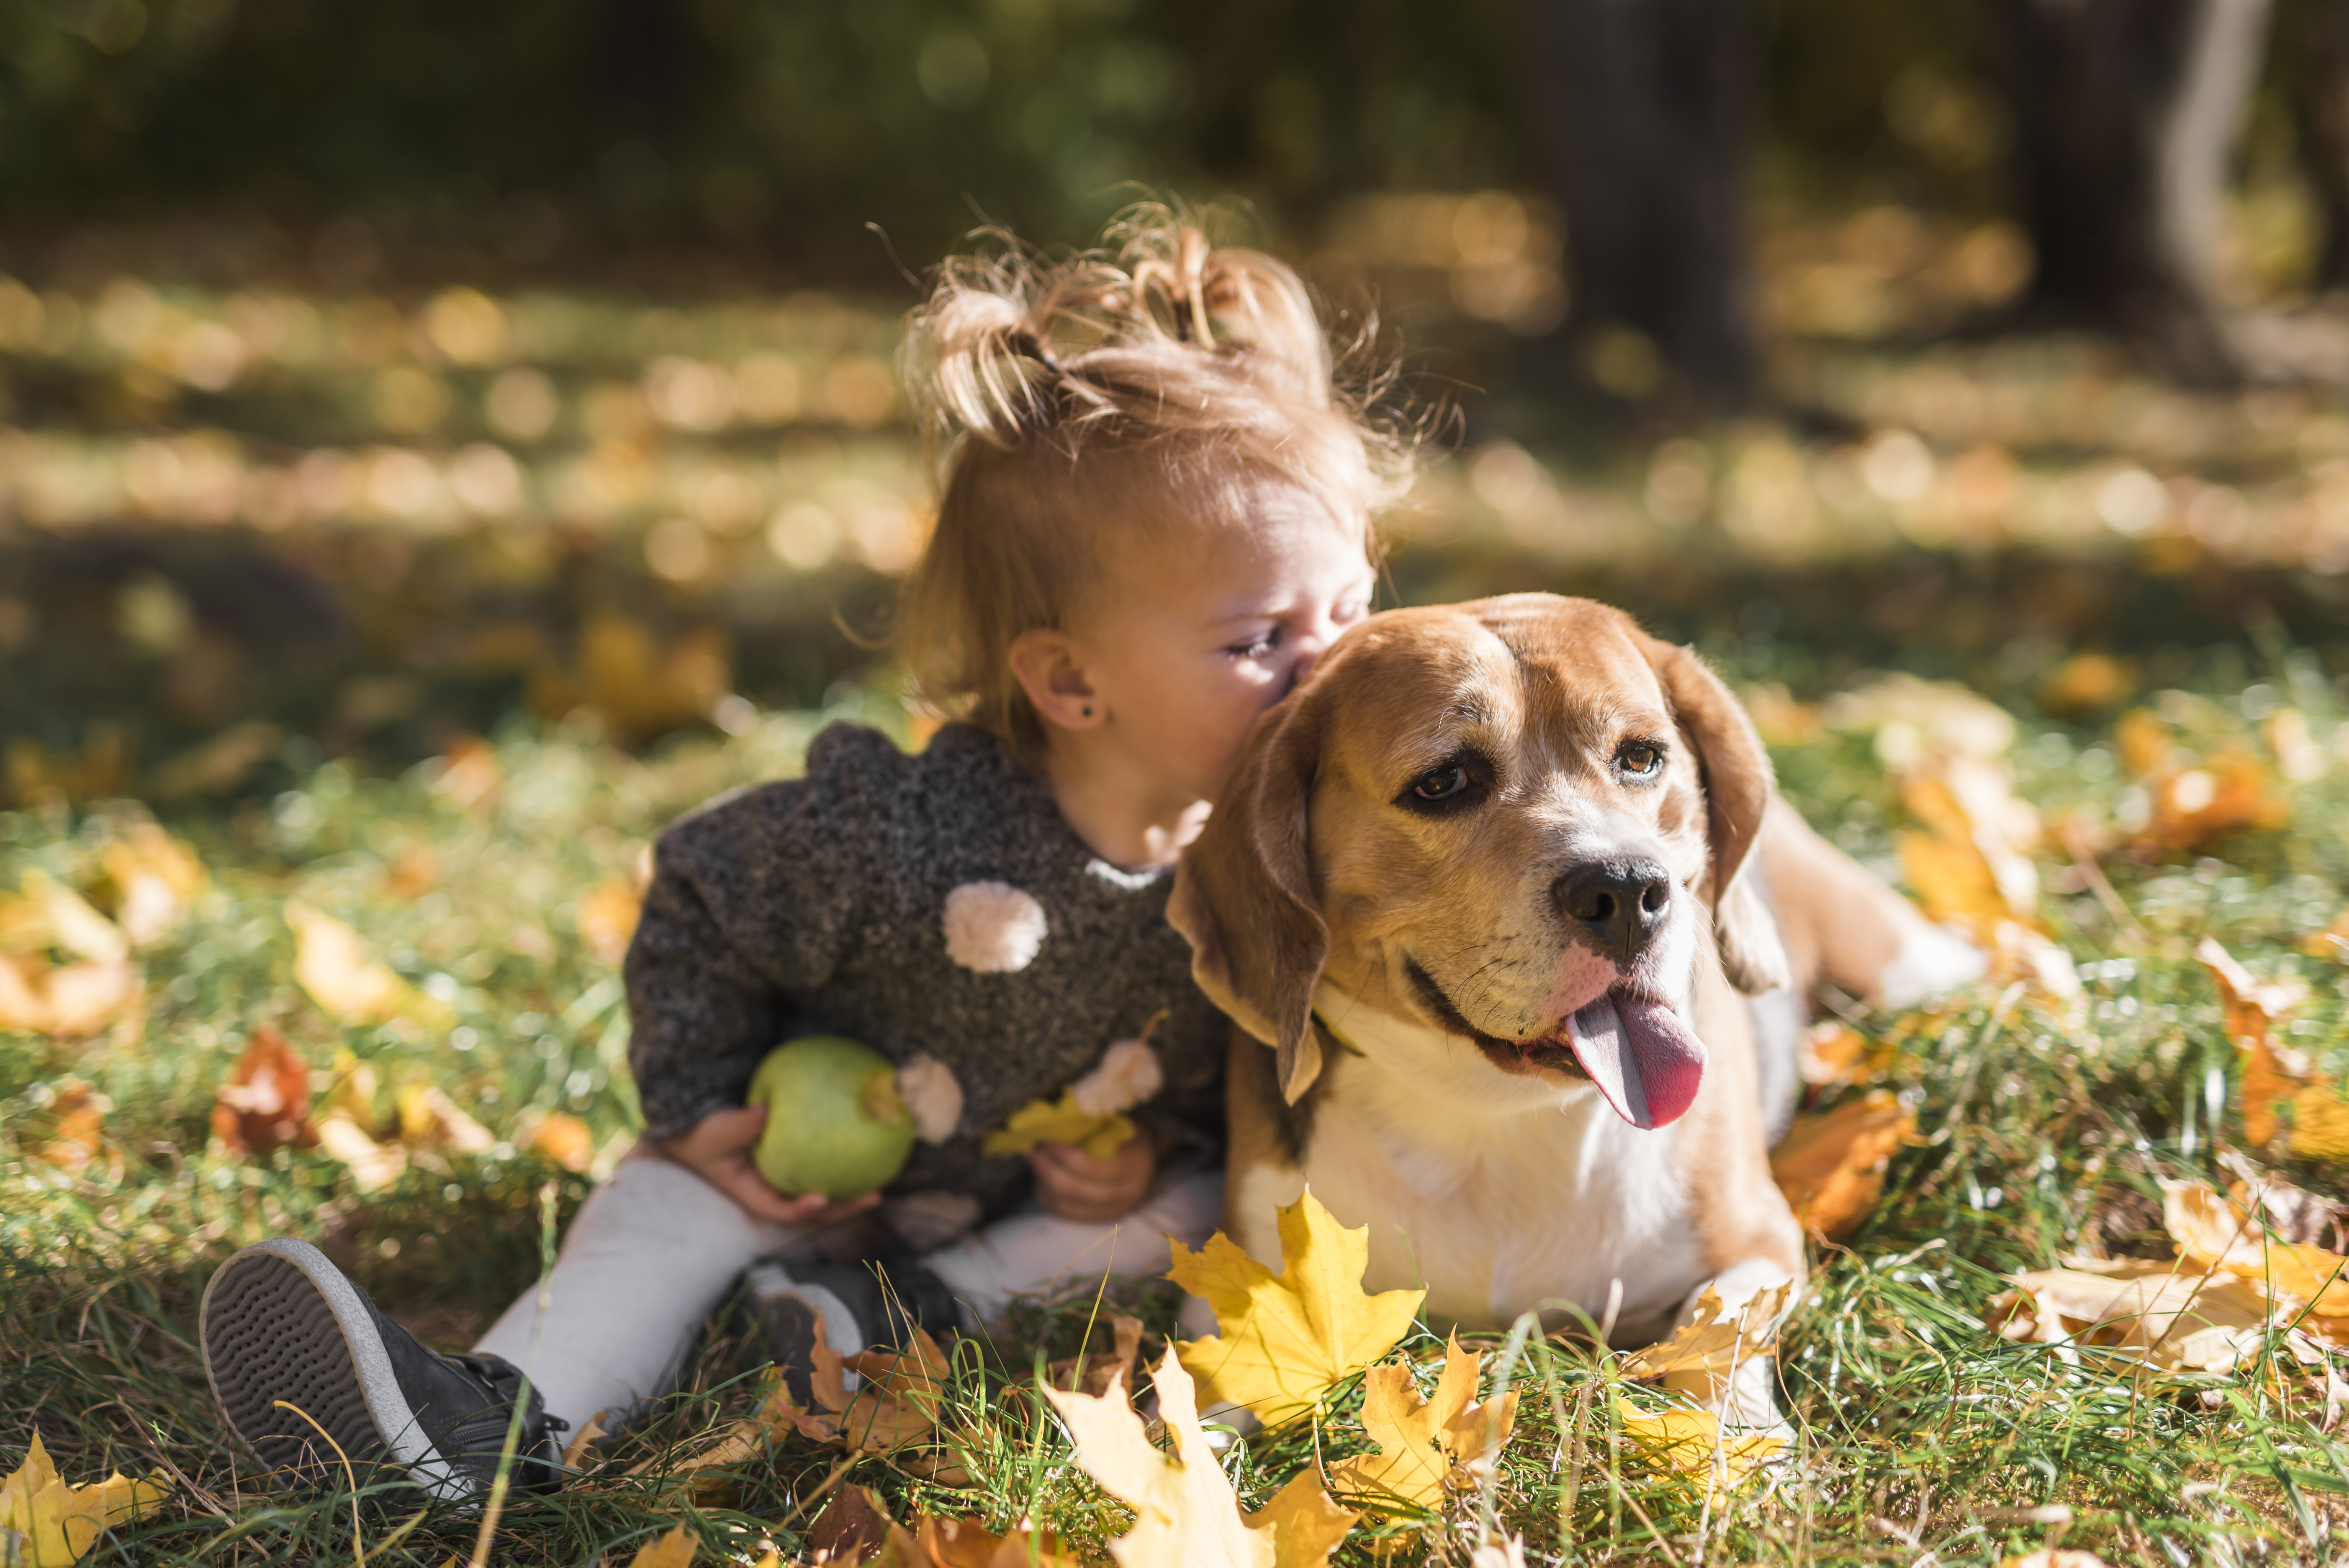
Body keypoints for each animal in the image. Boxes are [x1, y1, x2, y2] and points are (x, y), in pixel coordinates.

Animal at [1165, 594, 1973, 1429]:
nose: (1627, 891)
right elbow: (1218, 1378)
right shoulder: (1238, 1274)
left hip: (1899, 960)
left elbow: (1714, 1326)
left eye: (1641, 757)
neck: (1497, 1118)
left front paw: (1738, 1440)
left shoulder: (1762, 1238)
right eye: (1443, 781)